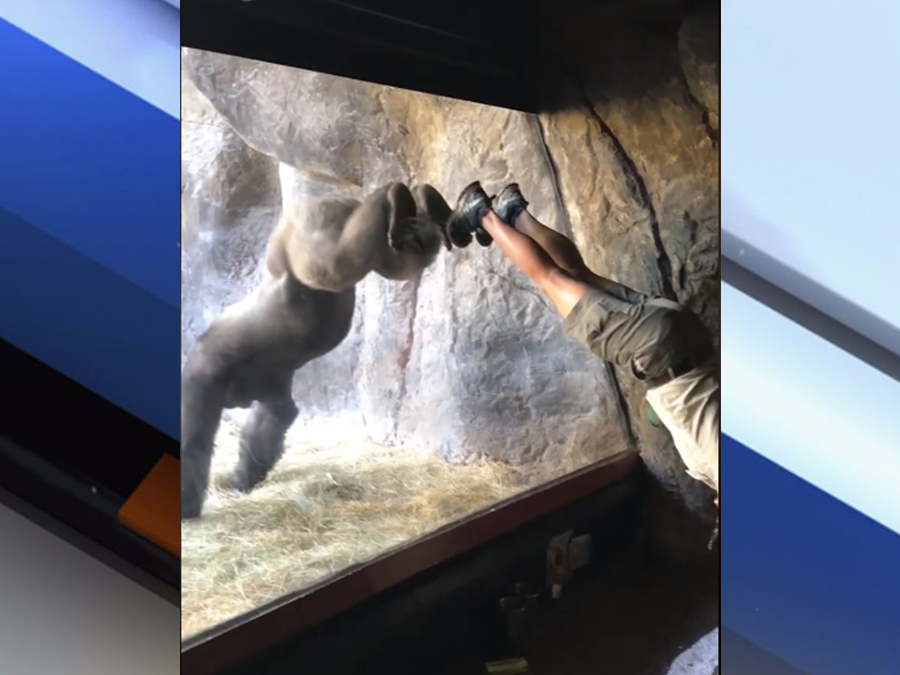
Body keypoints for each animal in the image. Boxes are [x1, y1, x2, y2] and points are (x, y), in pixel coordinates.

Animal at [180, 183, 457, 519]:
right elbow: (274, 419)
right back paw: (417, 206)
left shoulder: (202, 378)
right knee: (390, 260)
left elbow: (193, 441)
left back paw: (393, 196)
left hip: (305, 221)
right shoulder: (267, 387)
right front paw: (244, 478)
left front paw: (187, 504)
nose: (237, 401)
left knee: (336, 263)